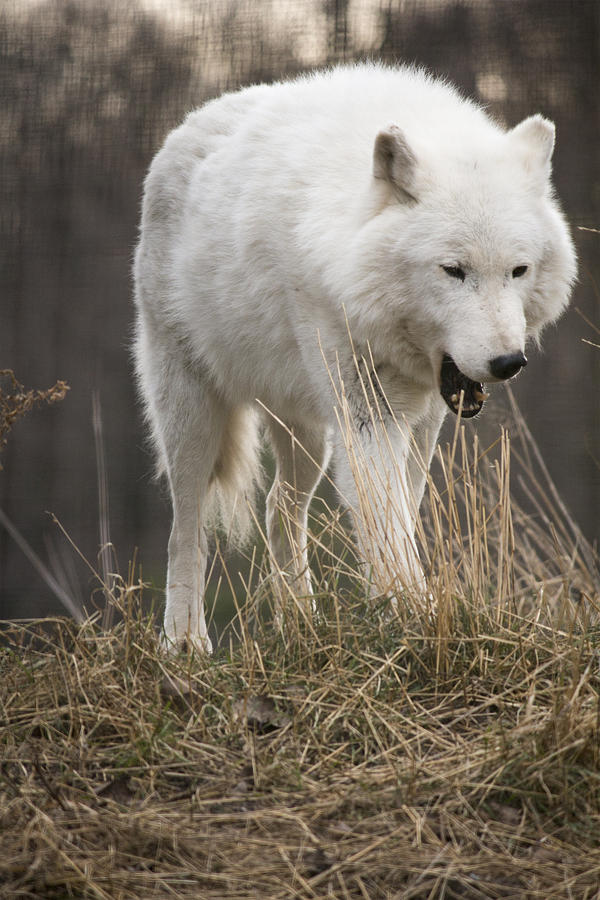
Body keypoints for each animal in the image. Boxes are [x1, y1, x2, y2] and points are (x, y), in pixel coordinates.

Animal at [132, 65, 576, 652]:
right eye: (453, 270)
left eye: (518, 270)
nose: (508, 362)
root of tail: (184, 127)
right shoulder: (368, 416)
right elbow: (383, 517)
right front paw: (414, 617)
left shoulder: (424, 418)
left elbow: (401, 512)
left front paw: (402, 610)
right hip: (192, 410)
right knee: (185, 526)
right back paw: (184, 643)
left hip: (307, 431)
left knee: (279, 509)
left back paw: (301, 628)